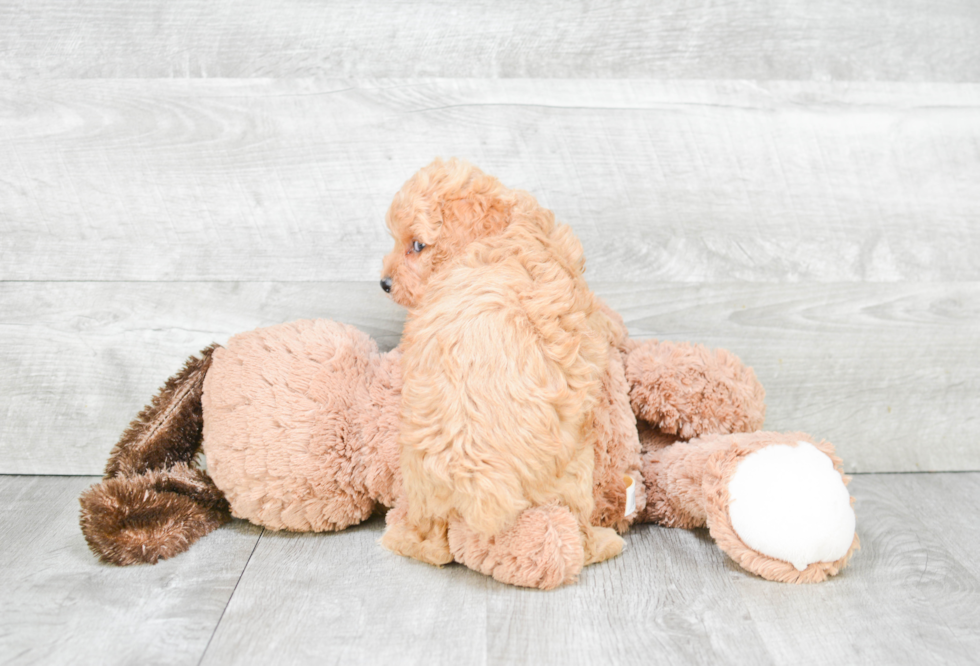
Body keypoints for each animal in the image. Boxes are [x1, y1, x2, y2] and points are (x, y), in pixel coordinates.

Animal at [378, 157, 624, 580]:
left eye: (417, 246)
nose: (384, 283)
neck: (503, 232)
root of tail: (477, 478)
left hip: (421, 472)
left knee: (432, 544)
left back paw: (402, 532)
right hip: (575, 464)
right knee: (575, 522)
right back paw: (600, 542)